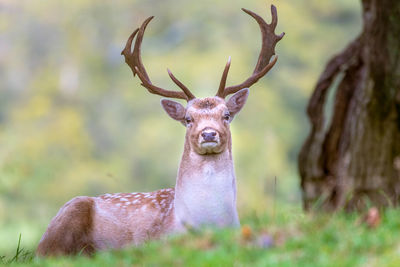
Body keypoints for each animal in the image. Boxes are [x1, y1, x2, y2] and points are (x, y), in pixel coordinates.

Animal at [36, 4, 282, 258]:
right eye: (188, 118)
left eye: (226, 115)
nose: (208, 134)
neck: (205, 222)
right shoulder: (161, 240)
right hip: (66, 217)